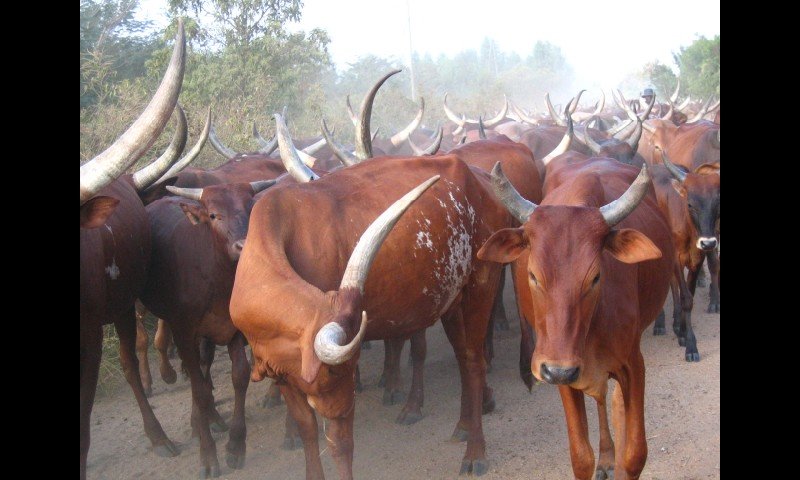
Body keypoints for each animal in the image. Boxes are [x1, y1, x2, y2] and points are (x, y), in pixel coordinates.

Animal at [478, 160, 674, 480]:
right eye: (532, 274)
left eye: (595, 277)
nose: (560, 370)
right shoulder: (558, 371)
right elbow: (581, 457)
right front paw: (599, 458)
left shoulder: (632, 364)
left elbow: (634, 454)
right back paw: (606, 457)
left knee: (613, 401)